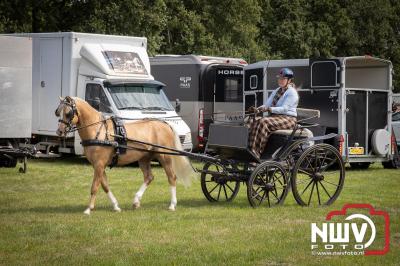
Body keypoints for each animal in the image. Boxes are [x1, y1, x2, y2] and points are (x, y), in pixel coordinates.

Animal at [55, 96, 194, 215]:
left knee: (172, 177)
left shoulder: (99, 164)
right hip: (144, 159)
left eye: (68, 113)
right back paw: (136, 201)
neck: (98, 130)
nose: (59, 131)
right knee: (149, 177)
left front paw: (88, 209)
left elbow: (95, 186)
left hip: (164, 157)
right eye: (58, 111)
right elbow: (105, 185)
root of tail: (165, 124)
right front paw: (116, 206)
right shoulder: (98, 165)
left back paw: (172, 204)